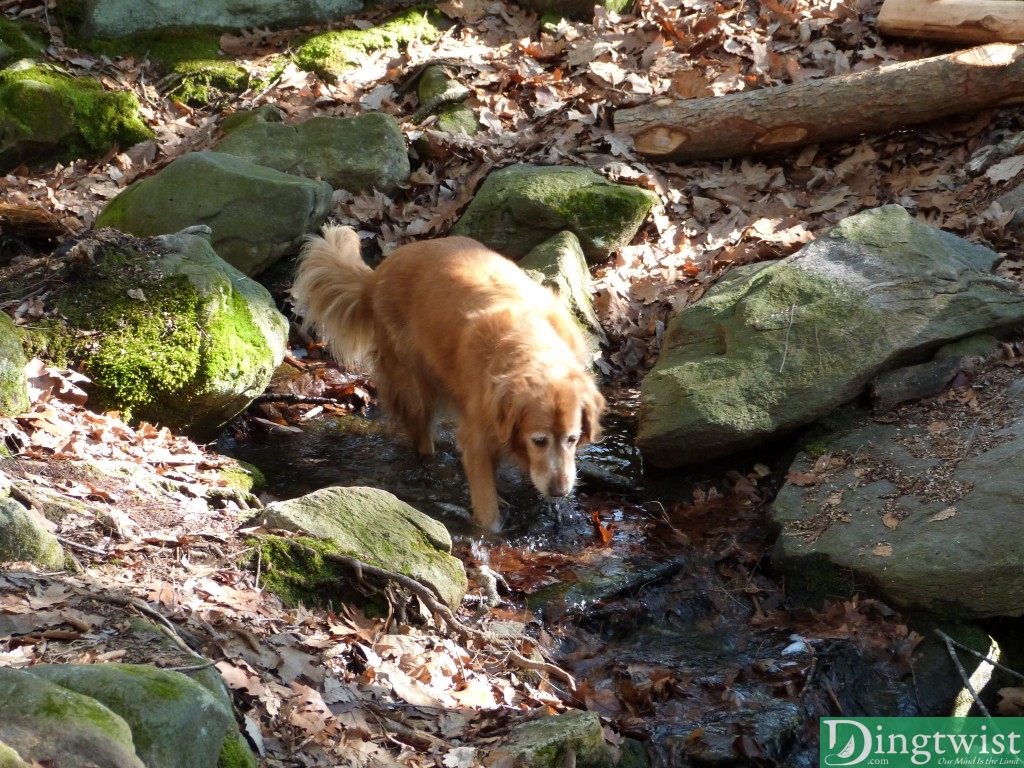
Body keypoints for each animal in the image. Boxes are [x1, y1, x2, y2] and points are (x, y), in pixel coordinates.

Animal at [292, 225, 602, 532]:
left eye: (573, 439)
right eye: (539, 441)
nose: (560, 491)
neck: (532, 347)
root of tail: (378, 274)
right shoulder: (477, 438)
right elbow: (487, 511)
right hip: (413, 387)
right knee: (421, 436)